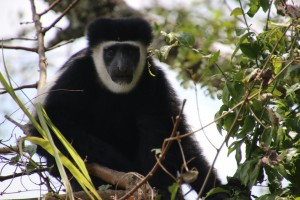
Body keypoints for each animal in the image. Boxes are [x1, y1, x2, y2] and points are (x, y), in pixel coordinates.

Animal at [31, 18, 220, 199]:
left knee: (152, 122)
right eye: (111, 52)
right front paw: (120, 164)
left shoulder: (156, 80)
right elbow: (46, 125)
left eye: (130, 51)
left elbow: (180, 138)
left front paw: (218, 188)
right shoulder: (76, 74)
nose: (122, 67)